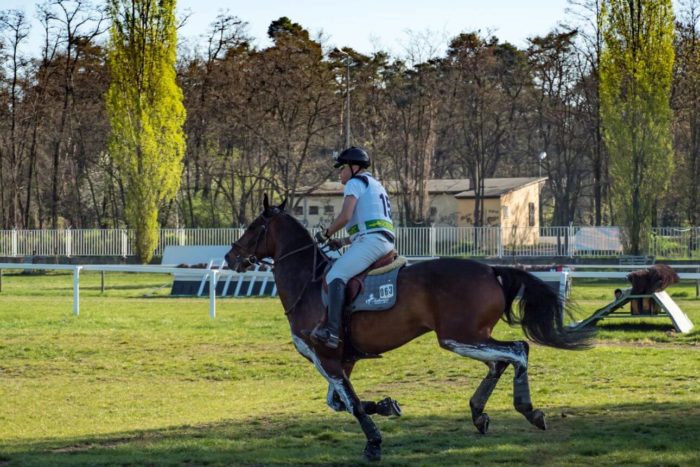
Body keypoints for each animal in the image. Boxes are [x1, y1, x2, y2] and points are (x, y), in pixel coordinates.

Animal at [226, 196, 596, 462]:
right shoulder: (343, 360)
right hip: (471, 337)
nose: (231, 258)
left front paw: (374, 444)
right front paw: (387, 406)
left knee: (516, 351)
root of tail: (491, 270)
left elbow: (352, 404)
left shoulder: (326, 357)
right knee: (500, 361)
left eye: (255, 226)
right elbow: (340, 403)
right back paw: (479, 413)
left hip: (458, 337)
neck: (310, 282)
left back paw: (527, 410)